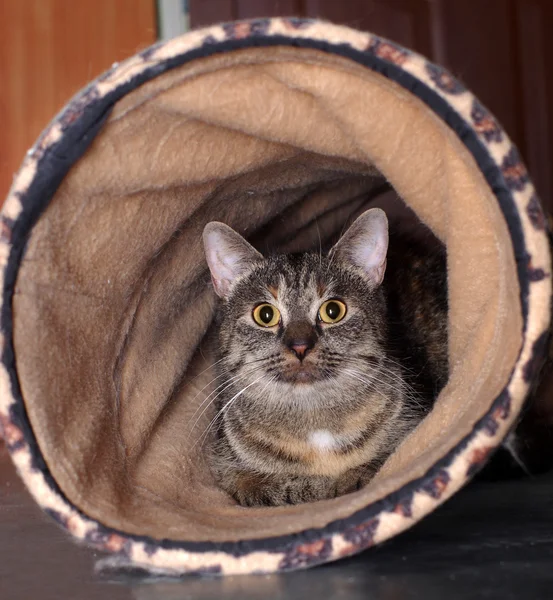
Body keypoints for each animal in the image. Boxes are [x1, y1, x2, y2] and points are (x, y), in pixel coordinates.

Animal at [201, 209, 446, 504]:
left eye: (333, 310)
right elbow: (275, 487)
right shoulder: (228, 469)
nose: (300, 346)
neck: (315, 426)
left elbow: (377, 464)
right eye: (265, 314)